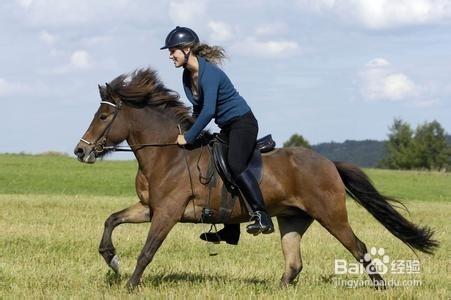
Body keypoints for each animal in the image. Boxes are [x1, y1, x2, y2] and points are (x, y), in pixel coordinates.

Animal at [74, 68, 438, 290]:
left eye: (103, 116)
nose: (81, 151)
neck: (168, 154)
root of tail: (328, 164)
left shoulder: (167, 213)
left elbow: (147, 251)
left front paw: (130, 284)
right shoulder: (150, 208)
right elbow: (111, 220)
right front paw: (112, 260)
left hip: (331, 215)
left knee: (358, 248)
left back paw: (381, 287)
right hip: (293, 218)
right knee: (294, 263)